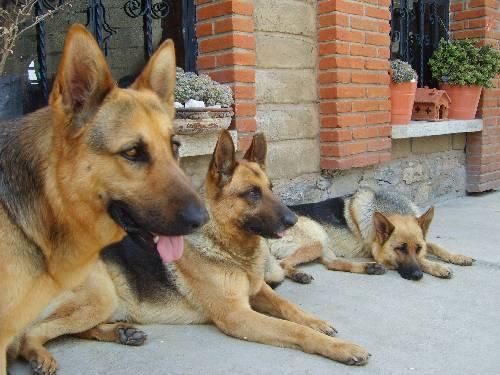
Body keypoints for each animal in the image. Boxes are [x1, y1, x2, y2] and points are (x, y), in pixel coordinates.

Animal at [18, 131, 372, 374]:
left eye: (271, 188)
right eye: (252, 193)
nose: (295, 219)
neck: (227, 248)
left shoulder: (258, 290)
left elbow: (290, 307)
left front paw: (317, 321)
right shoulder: (238, 316)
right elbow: (294, 329)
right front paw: (341, 348)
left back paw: (122, 332)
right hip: (99, 297)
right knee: (28, 335)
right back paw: (39, 355)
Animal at [264, 189, 474, 284]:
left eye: (418, 248)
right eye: (400, 249)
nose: (417, 276)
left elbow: (434, 246)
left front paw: (458, 257)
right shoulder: (378, 251)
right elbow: (421, 260)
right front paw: (438, 267)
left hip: (323, 245)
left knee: (333, 264)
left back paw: (369, 268)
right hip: (317, 241)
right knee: (283, 264)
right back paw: (299, 274)